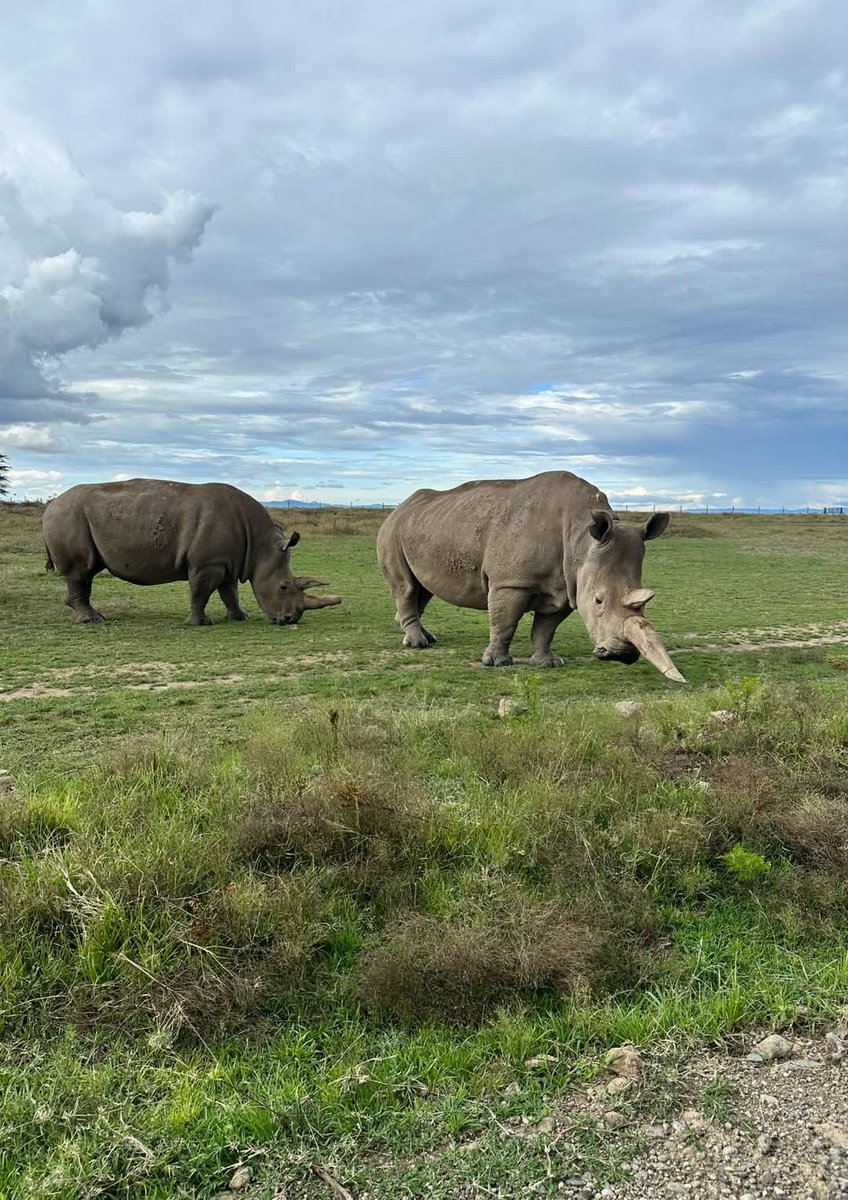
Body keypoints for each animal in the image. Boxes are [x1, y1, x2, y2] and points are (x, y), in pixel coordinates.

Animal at [43, 479, 341, 626]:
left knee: (85, 573)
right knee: (81, 571)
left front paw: (239, 617)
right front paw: (200, 624)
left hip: (72, 516)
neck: (261, 547)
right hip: (67, 516)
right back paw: (93, 621)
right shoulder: (208, 563)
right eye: (283, 586)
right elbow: (201, 592)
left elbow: (229, 592)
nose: (289, 620)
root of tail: (50, 506)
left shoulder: (228, 561)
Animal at [377, 470, 685, 683]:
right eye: (598, 601)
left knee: (423, 590)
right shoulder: (511, 583)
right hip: (392, 529)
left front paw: (548, 663)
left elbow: (545, 629)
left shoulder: (567, 586)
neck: (581, 540)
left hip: (424, 526)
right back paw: (417, 645)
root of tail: (399, 507)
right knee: (406, 588)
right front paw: (498, 663)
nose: (623, 654)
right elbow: (505, 622)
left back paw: (425, 637)